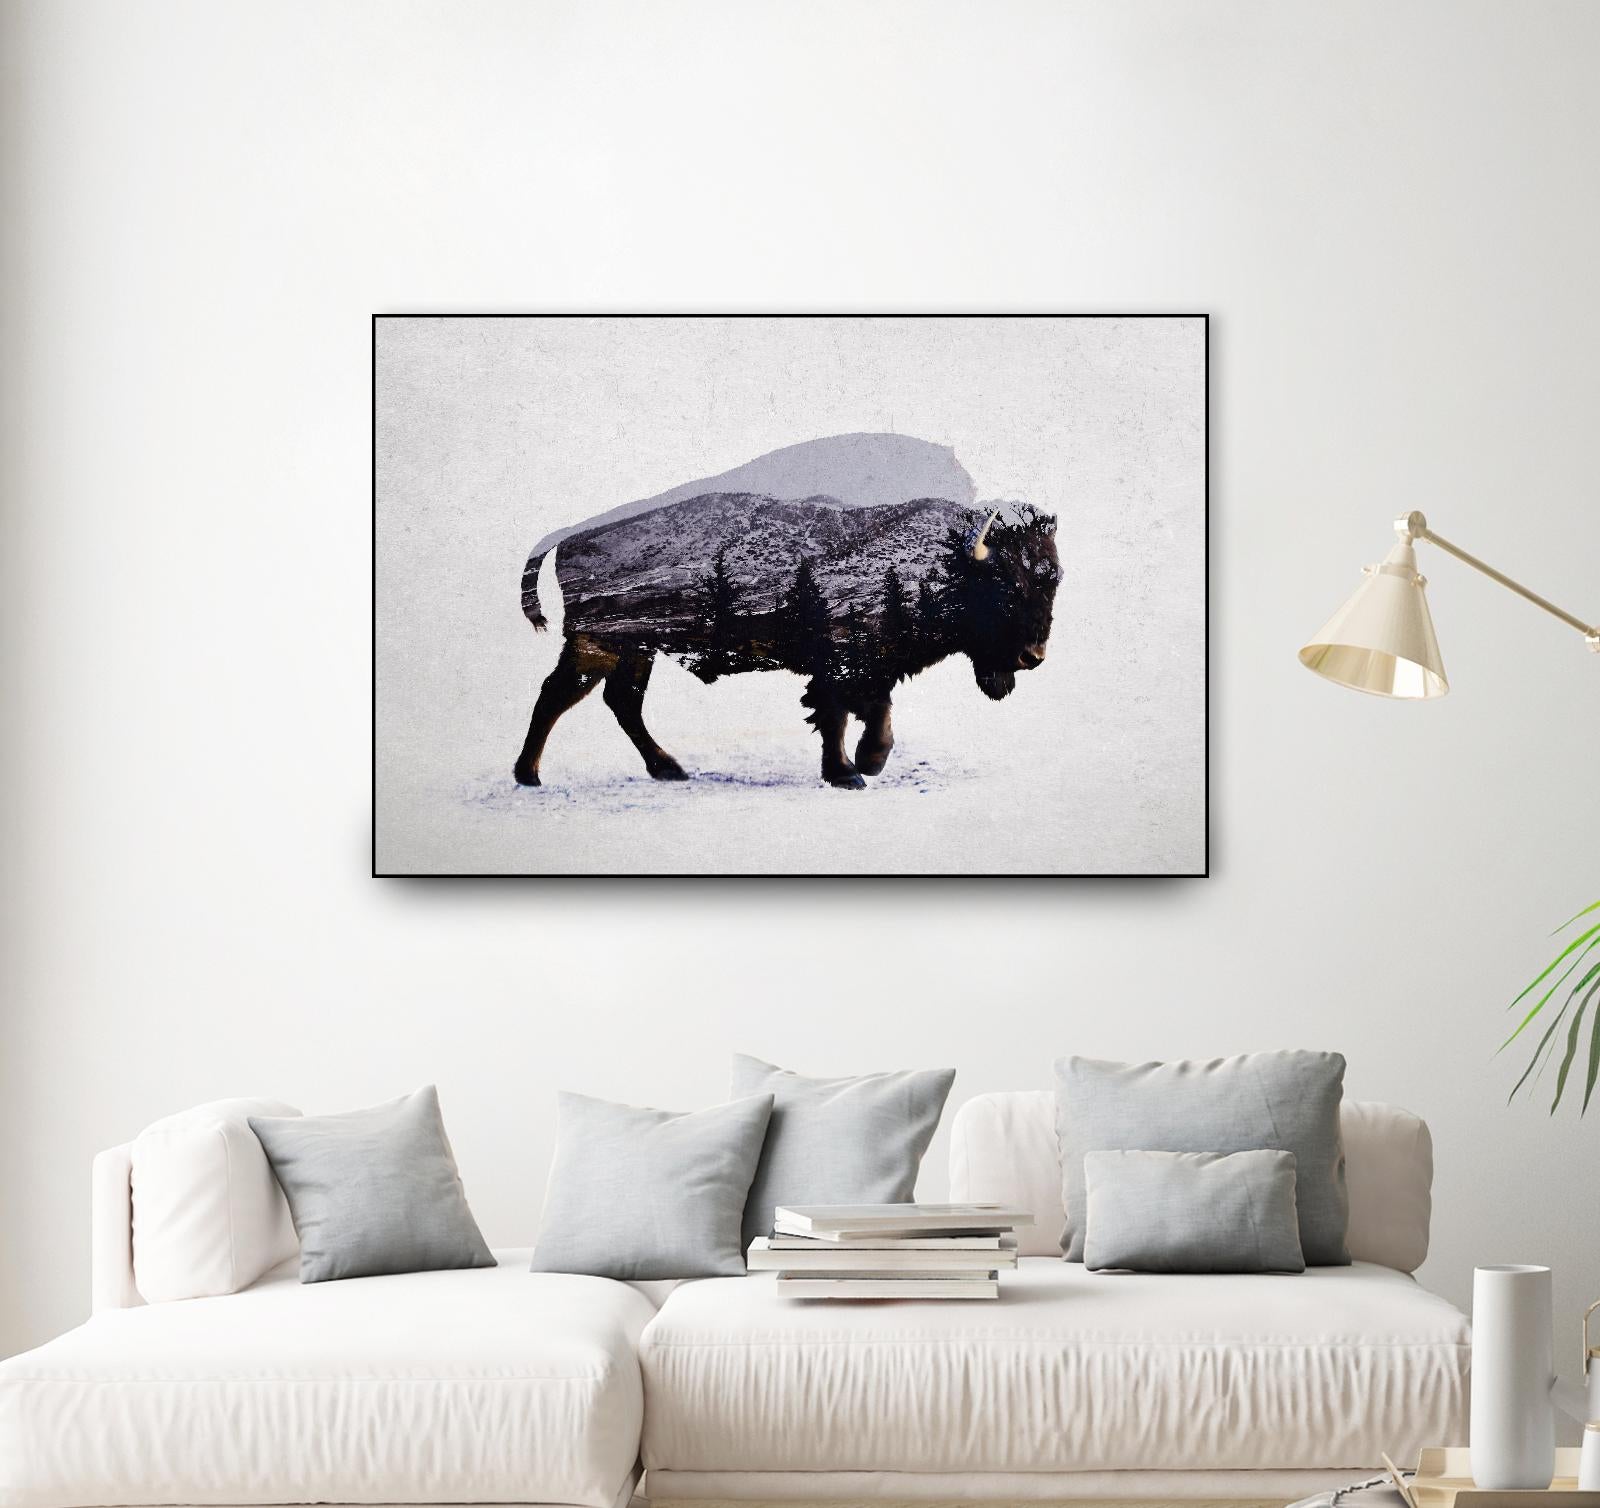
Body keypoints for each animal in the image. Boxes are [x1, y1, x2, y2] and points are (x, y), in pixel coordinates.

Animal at [513, 434, 1060, 790]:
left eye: (1051, 580)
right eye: (1007, 586)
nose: (1033, 656)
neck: (941, 556)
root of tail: (568, 535)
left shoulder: (874, 664)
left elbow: (876, 713)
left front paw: (869, 762)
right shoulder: (841, 662)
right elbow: (836, 714)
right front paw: (849, 774)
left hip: (635, 647)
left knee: (621, 701)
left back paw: (668, 769)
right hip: (598, 644)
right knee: (558, 696)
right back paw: (530, 776)